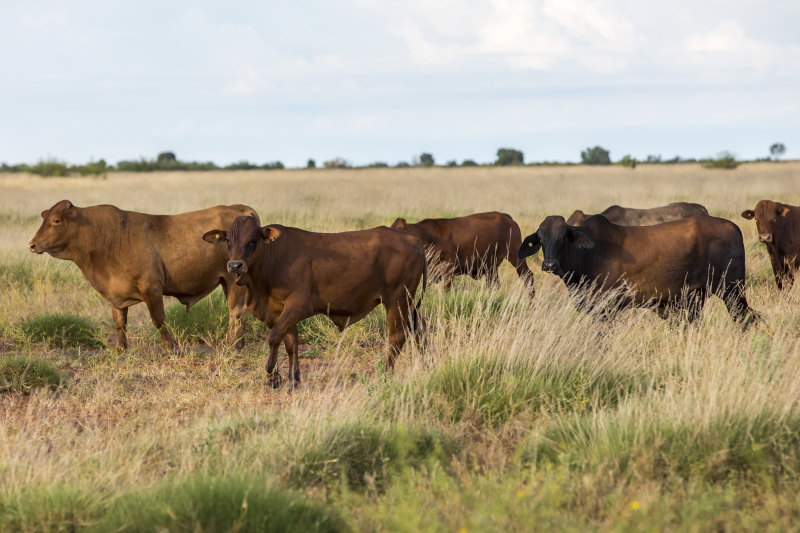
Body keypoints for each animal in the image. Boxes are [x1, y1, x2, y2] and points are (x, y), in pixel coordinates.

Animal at [29, 200, 255, 350]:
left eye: (56, 220)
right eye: (45, 218)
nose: (32, 244)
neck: (108, 238)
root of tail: (238, 208)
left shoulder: (152, 289)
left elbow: (159, 320)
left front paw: (170, 347)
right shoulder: (116, 295)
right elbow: (120, 323)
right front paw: (120, 348)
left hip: (232, 279)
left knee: (236, 312)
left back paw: (231, 344)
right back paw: (238, 343)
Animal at [203, 216, 428, 386]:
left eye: (253, 240)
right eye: (228, 241)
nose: (235, 265)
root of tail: (413, 240)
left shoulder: (297, 306)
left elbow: (274, 337)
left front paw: (271, 375)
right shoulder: (281, 311)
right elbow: (290, 343)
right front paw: (293, 380)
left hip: (397, 300)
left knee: (397, 336)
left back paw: (385, 375)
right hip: (408, 303)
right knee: (420, 329)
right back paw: (427, 363)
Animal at [390, 211, 536, 296]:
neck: (428, 238)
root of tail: (506, 217)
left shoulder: (448, 270)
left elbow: (447, 290)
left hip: (516, 256)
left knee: (527, 276)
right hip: (491, 267)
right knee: (494, 284)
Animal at [520, 212, 756, 324]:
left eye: (563, 237)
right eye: (541, 238)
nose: (549, 264)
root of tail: (733, 227)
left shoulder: (606, 310)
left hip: (732, 291)